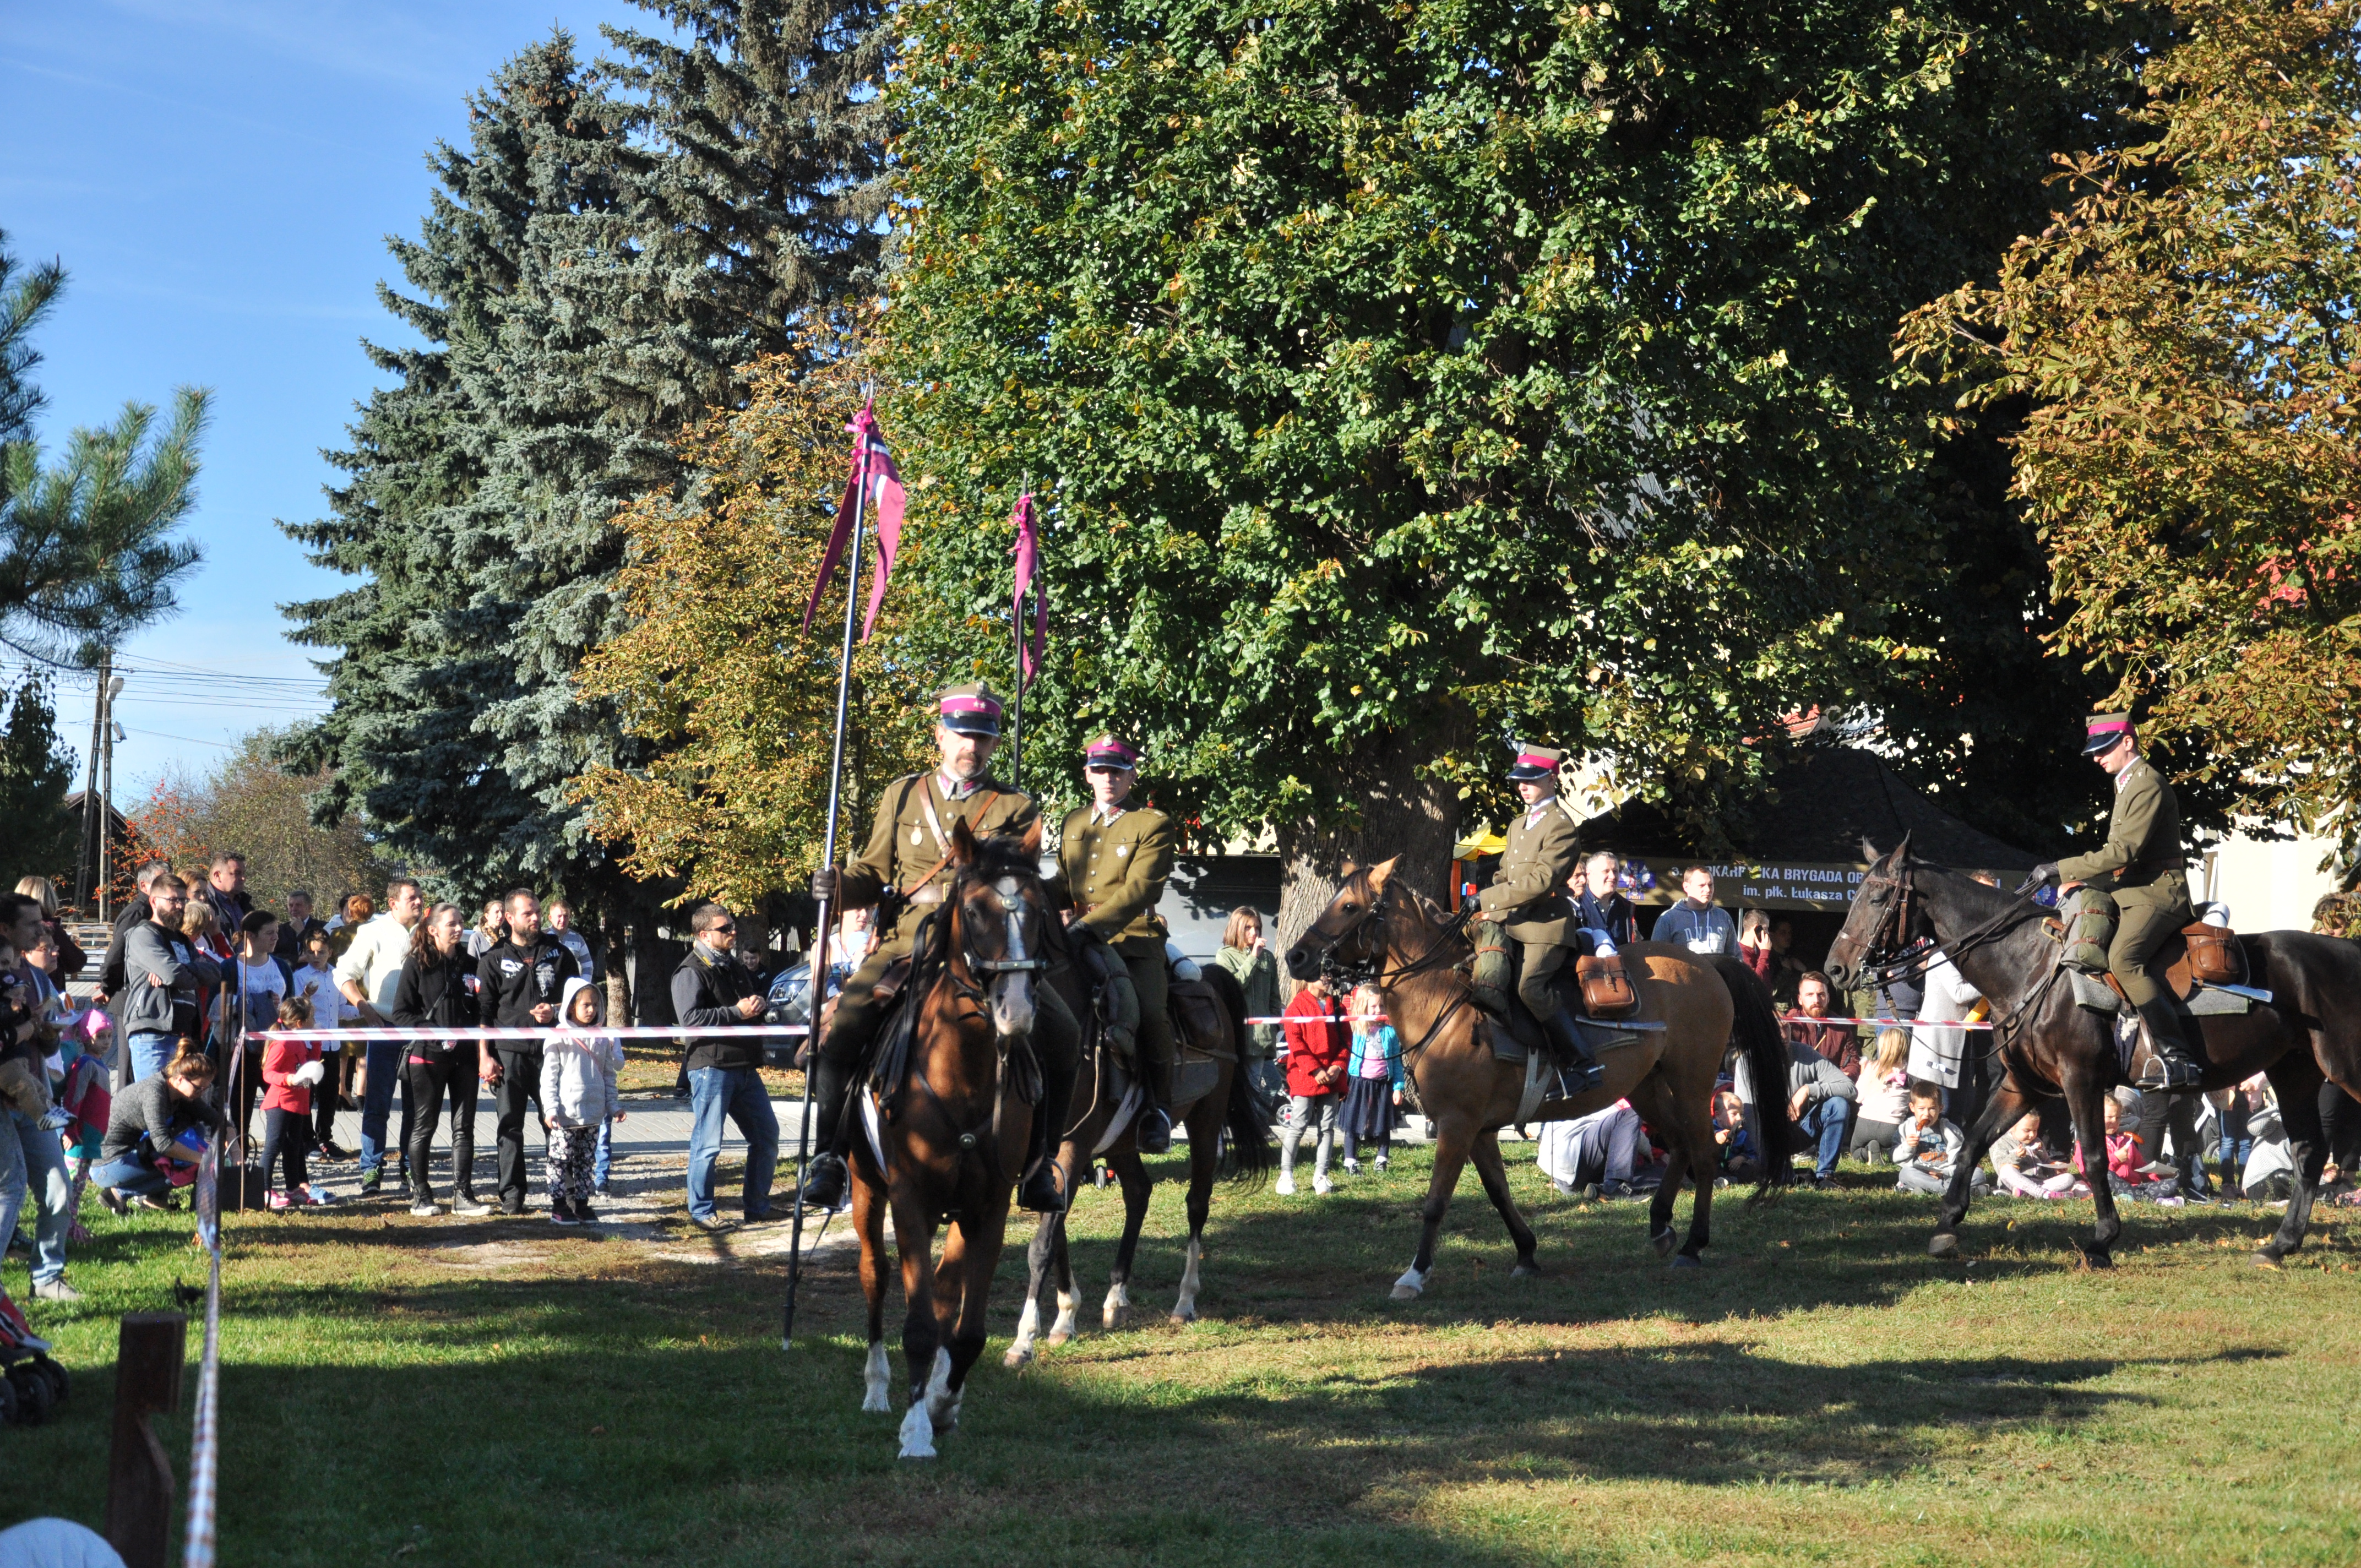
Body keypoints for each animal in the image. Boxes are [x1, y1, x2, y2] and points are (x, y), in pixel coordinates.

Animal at [850, 812, 1053, 1464]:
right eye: (976, 908)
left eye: (1039, 908)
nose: (1016, 1012)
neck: (960, 1069)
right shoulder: (910, 1198)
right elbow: (916, 1325)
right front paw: (915, 1430)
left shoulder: (989, 1207)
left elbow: (965, 1332)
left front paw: (941, 1405)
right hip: (866, 1191)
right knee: (875, 1274)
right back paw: (878, 1389)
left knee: (942, 1288)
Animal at [1293, 859, 1785, 1284]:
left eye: (1350, 906)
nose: (1298, 957)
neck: (1445, 998)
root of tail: (1707, 965)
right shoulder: (1479, 1130)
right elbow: (1498, 1192)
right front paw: (1526, 1253)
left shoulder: (1457, 1124)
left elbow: (1436, 1201)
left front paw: (1415, 1274)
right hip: (1648, 1087)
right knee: (1681, 1145)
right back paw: (1661, 1226)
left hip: (1692, 1084)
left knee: (1703, 1154)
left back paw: (1692, 1246)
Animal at [1823, 831, 2361, 1265]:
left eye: (1878, 896)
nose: (1835, 970)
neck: (2030, 966)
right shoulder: (2023, 1085)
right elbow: (1974, 1142)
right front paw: (1946, 1227)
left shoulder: (2079, 1079)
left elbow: (2096, 1156)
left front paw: (2103, 1240)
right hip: (2294, 1073)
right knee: (2310, 1152)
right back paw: (2280, 1246)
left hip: (2339, 1071)